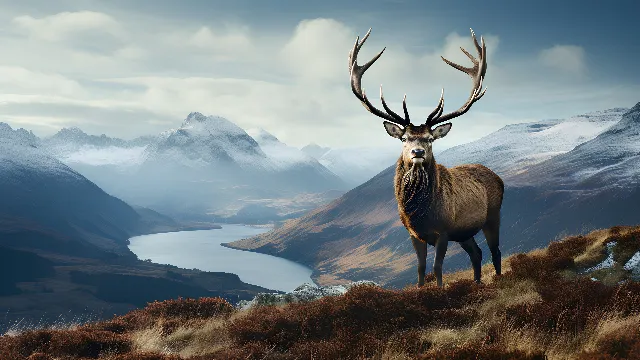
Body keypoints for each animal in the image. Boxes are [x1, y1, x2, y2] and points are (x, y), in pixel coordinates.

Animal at [350, 27, 504, 290]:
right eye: (404, 138)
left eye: (430, 138)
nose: (418, 152)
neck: (420, 214)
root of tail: (498, 177)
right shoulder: (414, 234)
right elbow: (421, 269)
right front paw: (422, 292)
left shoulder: (443, 231)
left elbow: (437, 267)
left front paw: (440, 291)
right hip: (465, 232)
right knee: (477, 253)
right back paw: (476, 284)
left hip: (493, 216)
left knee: (495, 251)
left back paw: (498, 280)